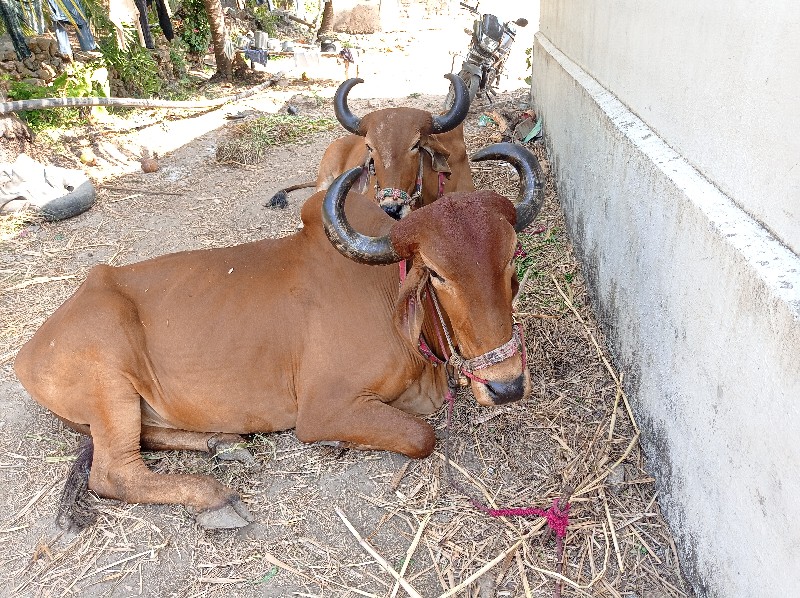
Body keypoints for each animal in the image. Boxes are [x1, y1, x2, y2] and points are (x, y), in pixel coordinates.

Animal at [14, 144, 544, 528]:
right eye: (435, 273)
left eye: (511, 257)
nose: (507, 386)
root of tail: (28, 351)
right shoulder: (324, 408)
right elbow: (422, 435)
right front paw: (340, 444)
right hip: (109, 381)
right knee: (113, 472)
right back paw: (216, 496)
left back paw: (224, 442)